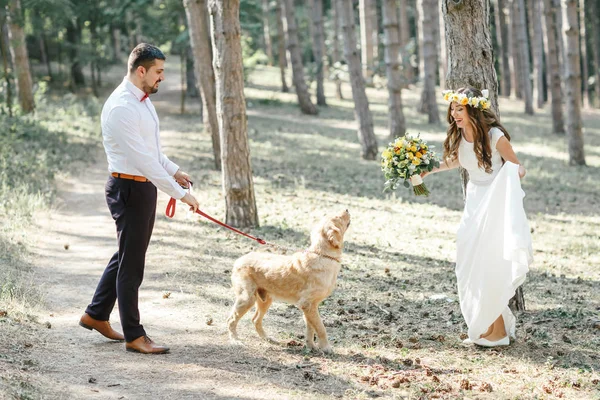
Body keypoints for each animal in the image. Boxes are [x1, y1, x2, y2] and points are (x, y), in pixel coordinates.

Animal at [226, 209, 352, 354]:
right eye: (337, 217)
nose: (347, 209)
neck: (323, 255)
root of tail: (238, 260)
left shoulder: (310, 306)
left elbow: (310, 329)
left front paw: (311, 347)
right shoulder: (307, 304)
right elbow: (321, 328)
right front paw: (326, 348)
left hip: (265, 300)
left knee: (255, 320)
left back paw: (268, 339)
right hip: (247, 298)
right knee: (231, 320)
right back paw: (235, 340)